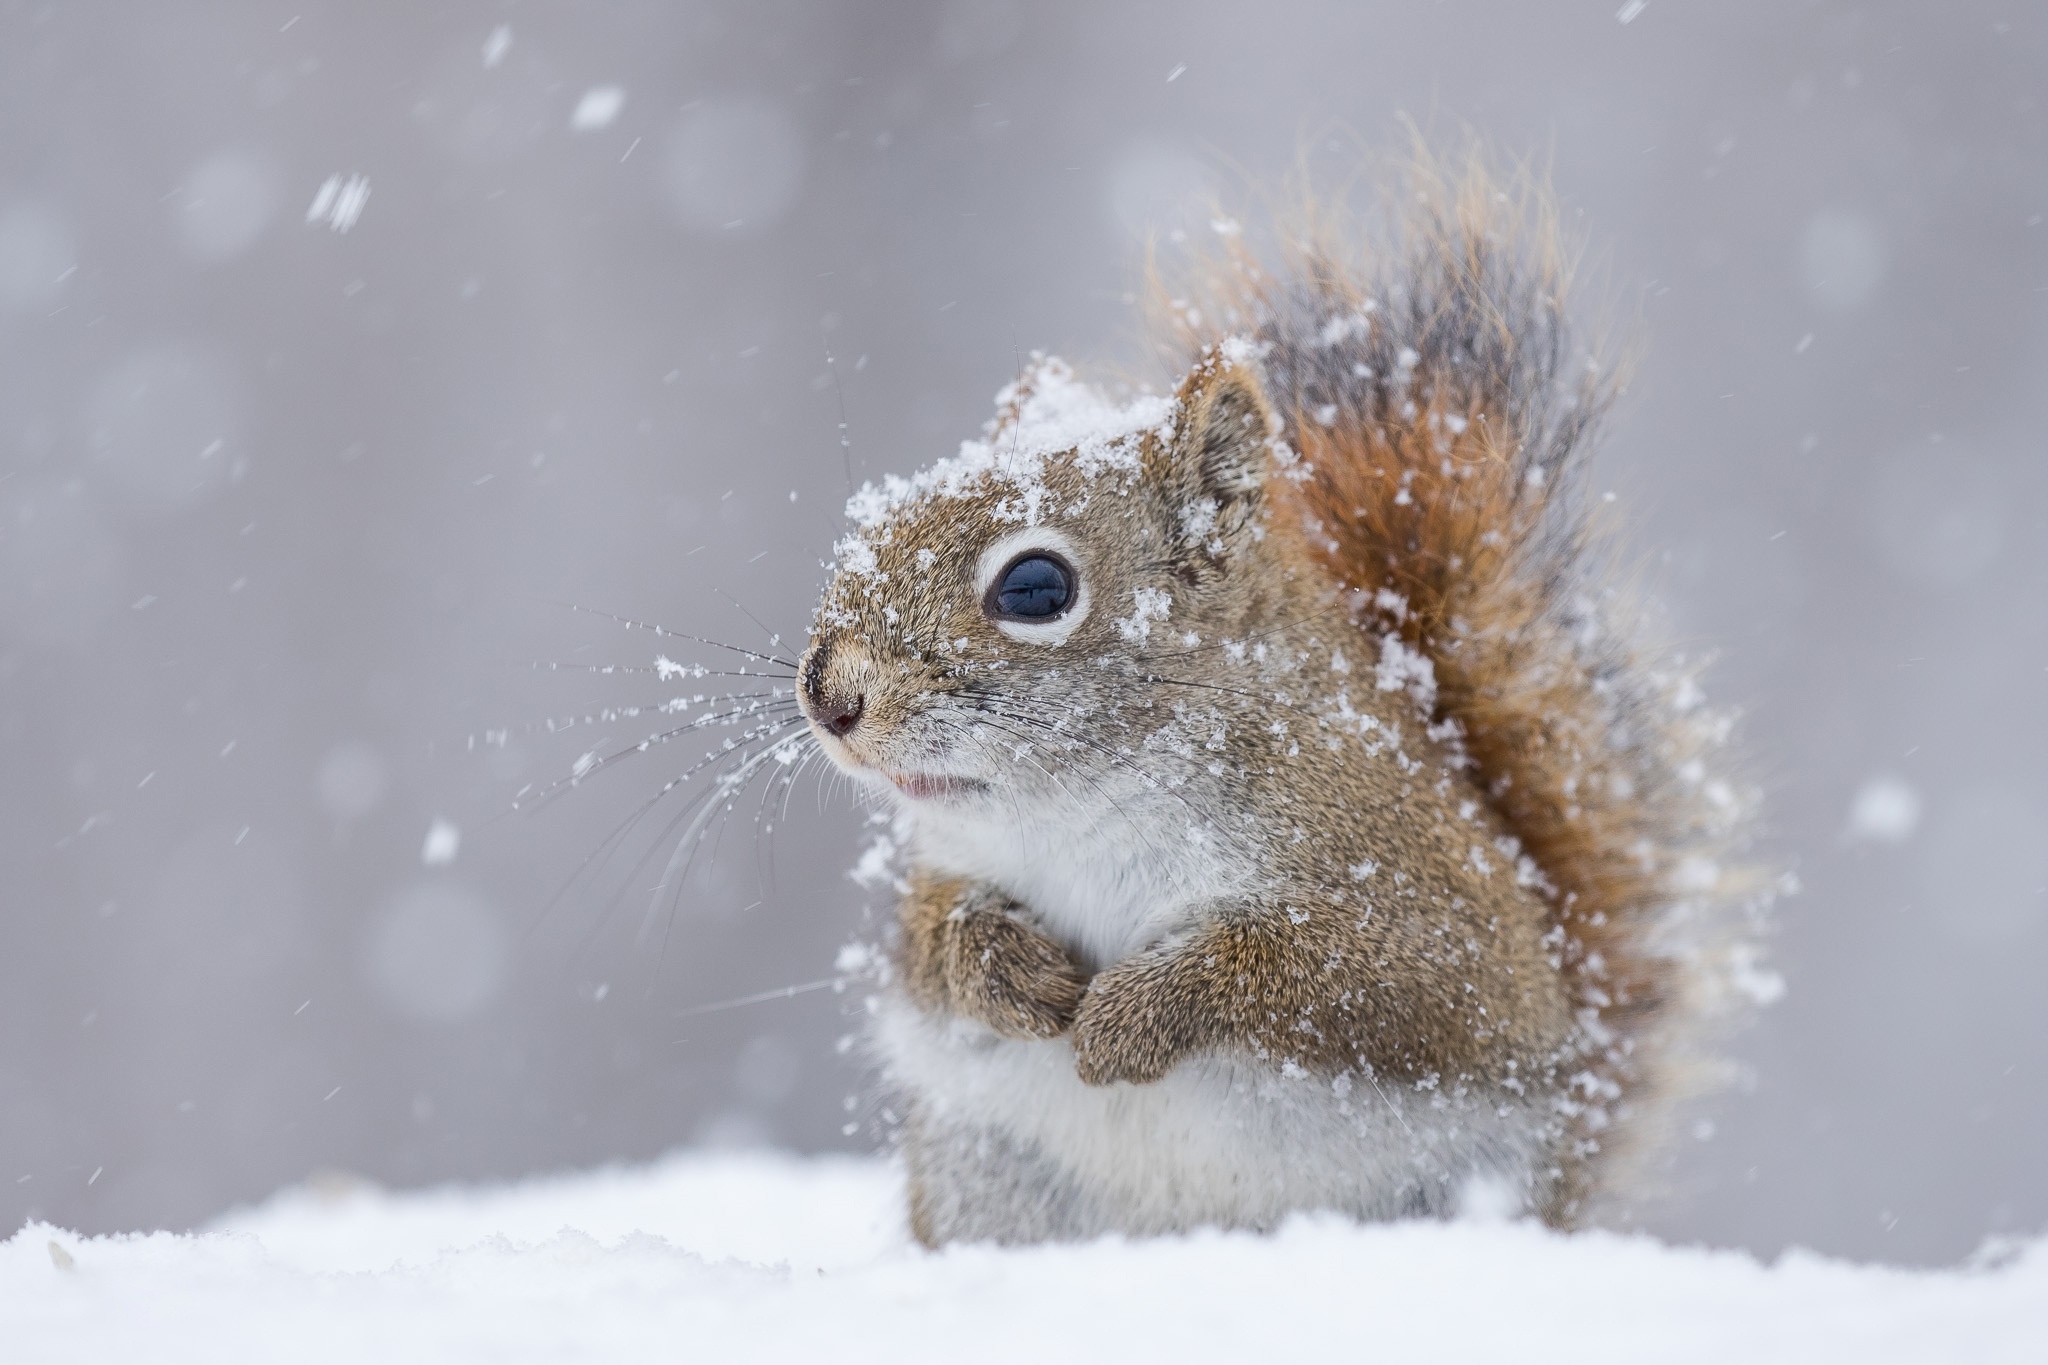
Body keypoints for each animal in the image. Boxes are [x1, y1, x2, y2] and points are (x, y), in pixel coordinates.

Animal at [790, 149, 1769, 1252]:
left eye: (1035, 588)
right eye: (878, 521)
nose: (828, 694)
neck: (1087, 806)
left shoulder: (1422, 902)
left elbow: (1344, 979)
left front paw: (1130, 1017)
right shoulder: (950, 869)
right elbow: (928, 946)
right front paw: (1006, 971)